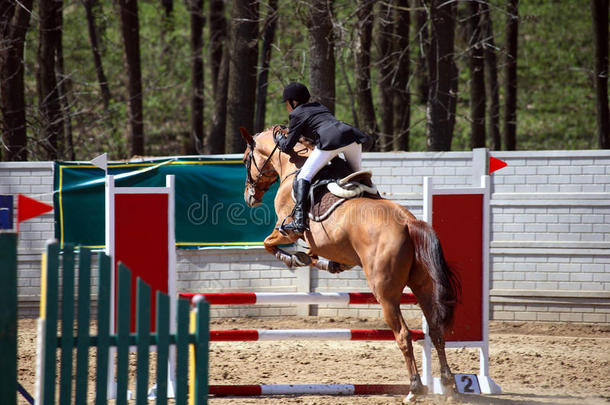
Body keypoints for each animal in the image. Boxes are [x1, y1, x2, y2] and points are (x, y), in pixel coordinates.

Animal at [238, 126, 456, 400]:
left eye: (245, 159)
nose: (249, 197)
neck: (293, 165)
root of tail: (409, 222)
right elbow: (312, 254)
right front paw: (325, 262)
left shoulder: (285, 231)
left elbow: (270, 244)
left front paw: (295, 258)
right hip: (423, 286)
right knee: (436, 330)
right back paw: (449, 384)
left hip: (385, 294)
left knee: (403, 335)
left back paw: (415, 388)